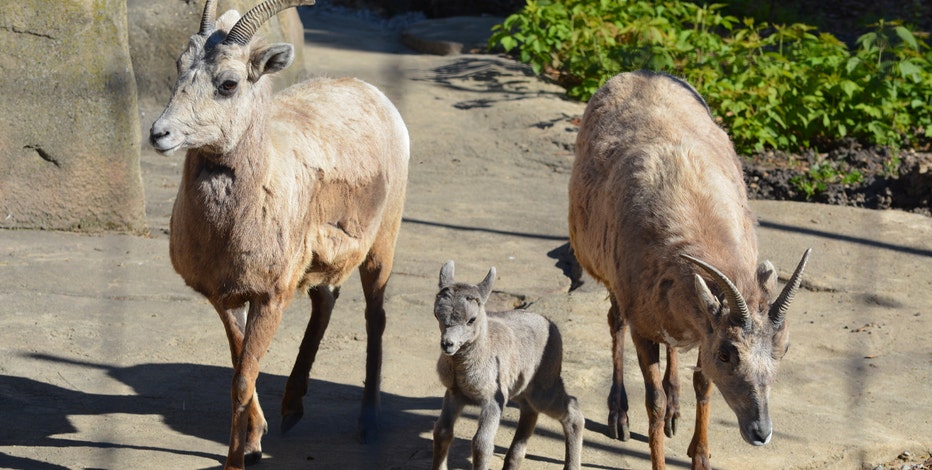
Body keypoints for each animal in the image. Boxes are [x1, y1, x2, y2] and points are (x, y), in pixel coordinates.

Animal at [147, 1, 409, 468]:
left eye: (228, 83)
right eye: (180, 66)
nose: (160, 134)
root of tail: (374, 95)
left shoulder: (270, 298)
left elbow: (242, 379)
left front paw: (237, 460)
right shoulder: (226, 298)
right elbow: (240, 368)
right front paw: (255, 442)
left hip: (381, 247)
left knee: (374, 318)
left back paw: (368, 425)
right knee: (325, 300)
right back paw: (292, 409)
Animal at [430, 260, 585, 470]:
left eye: (471, 319)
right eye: (437, 315)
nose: (448, 344)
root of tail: (551, 325)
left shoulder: (494, 400)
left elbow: (482, 444)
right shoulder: (455, 395)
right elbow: (442, 433)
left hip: (543, 392)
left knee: (573, 413)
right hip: (521, 393)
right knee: (529, 414)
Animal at [567, 70, 810, 470]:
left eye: (784, 347)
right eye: (727, 353)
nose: (760, 432)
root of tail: (636, 73)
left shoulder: (702, 325)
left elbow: (703, 384)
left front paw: (700, 456)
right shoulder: (642, 324)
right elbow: (652, 399)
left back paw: (675, 414)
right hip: (608, 278)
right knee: (614, 322)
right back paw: (619, 417)